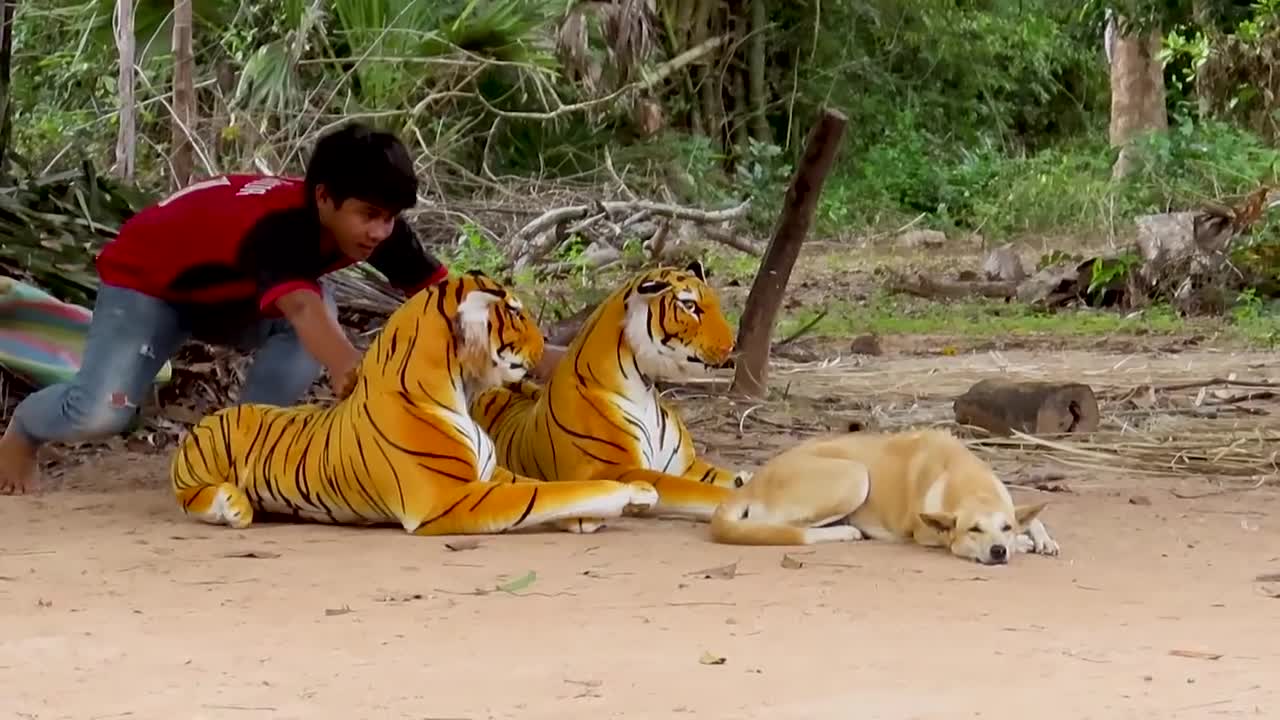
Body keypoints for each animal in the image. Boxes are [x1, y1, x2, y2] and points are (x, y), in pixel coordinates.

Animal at [711, 422, 1059, 563]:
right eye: (974, 530)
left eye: (1005, 527)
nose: (999, 550)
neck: (967, 479)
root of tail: (754, 481)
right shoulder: (924, 532)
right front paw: (1025, 543)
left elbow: (1034, 520)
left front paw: (1039, 538)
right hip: (854, 477)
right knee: (782, 528)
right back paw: (845, 533)